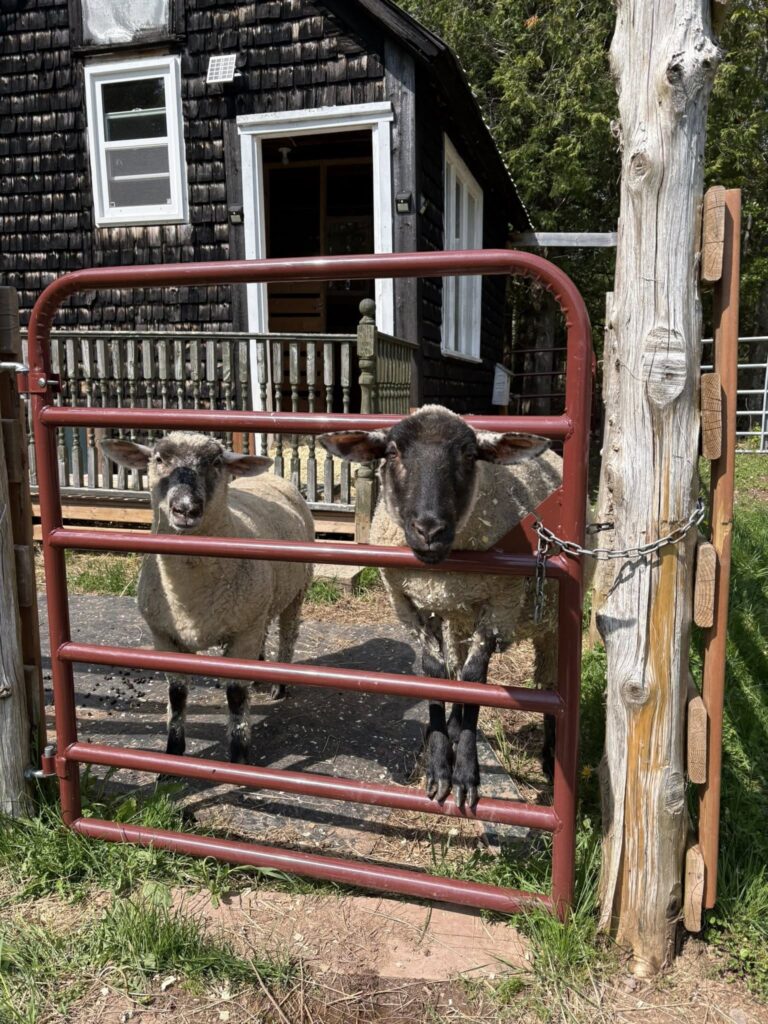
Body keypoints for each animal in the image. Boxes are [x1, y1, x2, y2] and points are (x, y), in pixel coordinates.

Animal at [100, 432, 314, 764]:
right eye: (159, 459)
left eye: (215, 462)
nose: (186, 509)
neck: (189, 599)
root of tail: (269, 475)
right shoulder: (164, 635)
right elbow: (177, 695)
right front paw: (173, 754)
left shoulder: (242, 633)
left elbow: (236, 697)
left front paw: (239, 757)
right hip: (259, 605)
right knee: (266, 630)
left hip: (296, 590)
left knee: (288, 635)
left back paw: (279, 684)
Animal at [320, 404, 568, 809]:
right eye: (392, 453)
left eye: (469, 455)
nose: (429, 530)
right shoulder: (413, 605)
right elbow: (436, 673)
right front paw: (439, 766)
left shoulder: (500, 603)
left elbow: (475, 680)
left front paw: (466, 774)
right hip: (458, 613)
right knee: (455, 666)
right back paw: (452, 726)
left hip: (550, 619)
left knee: (547, 682)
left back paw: (549, 756)